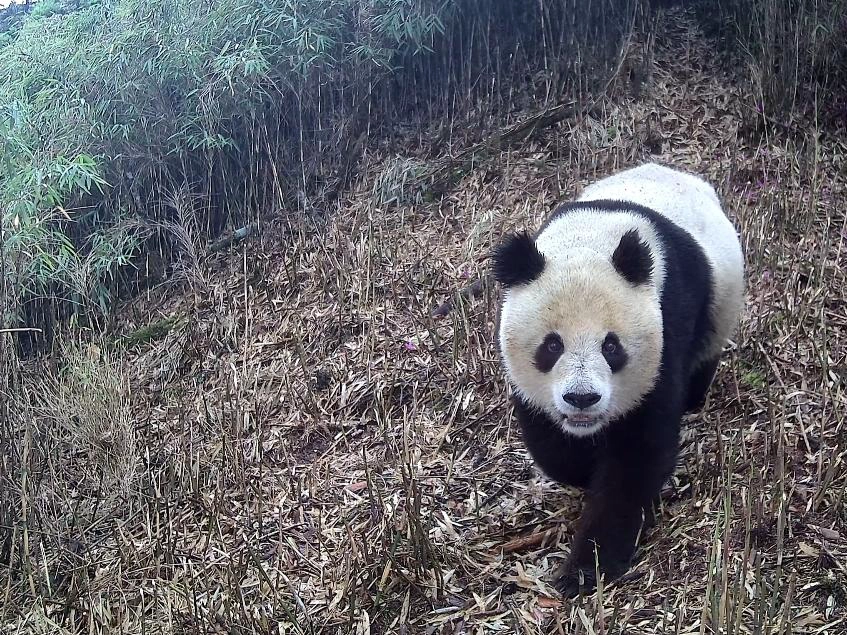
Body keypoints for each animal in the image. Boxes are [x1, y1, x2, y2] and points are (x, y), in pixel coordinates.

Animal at [492, 163, 745, 596]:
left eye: (611, 346)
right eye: (552, 345)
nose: (582, 398)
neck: (589, 239)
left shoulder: (664, 327)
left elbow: (637, 457)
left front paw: (585, 568)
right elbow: (548, 442)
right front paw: (580, 467)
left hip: (721, 299)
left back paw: (695, 397)